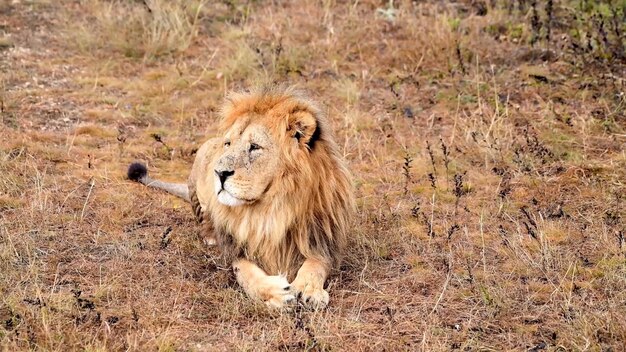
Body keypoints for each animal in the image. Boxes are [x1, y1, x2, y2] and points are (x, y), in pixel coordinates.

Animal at [125, 86, 356, 308]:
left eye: (254, 147)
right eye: (228, 144)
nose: (218, 173)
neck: (271, 209)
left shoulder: (322, 240)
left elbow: (316, 265)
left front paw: (309, 290)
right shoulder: (235, 250)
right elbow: (246, 273)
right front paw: (275, 294)